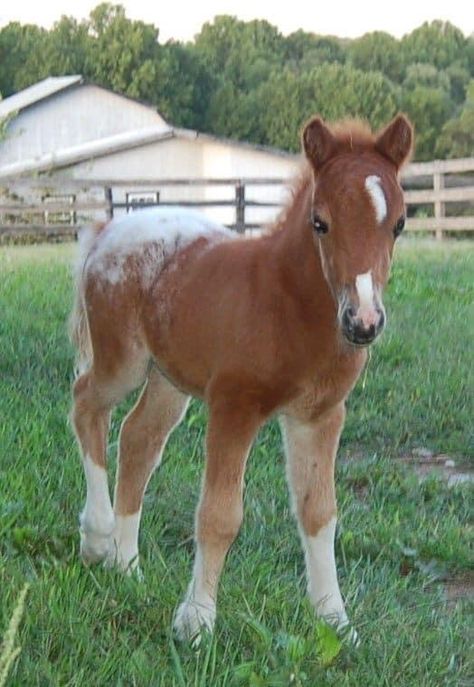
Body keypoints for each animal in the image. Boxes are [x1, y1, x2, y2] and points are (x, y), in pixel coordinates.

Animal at [68, 111, 412, 640]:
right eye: (320, 222)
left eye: (398, 224)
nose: (364, 322)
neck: (285, 303)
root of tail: (107, 230)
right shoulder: (234, 406)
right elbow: (219, 514)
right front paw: (195, 622)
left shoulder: (320, 416)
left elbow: (319, 513)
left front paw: (335, 621)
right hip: (121, 361)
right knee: (86, 403)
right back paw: (98, 539)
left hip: (169, 379)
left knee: (138, 438)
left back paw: (127, 566)